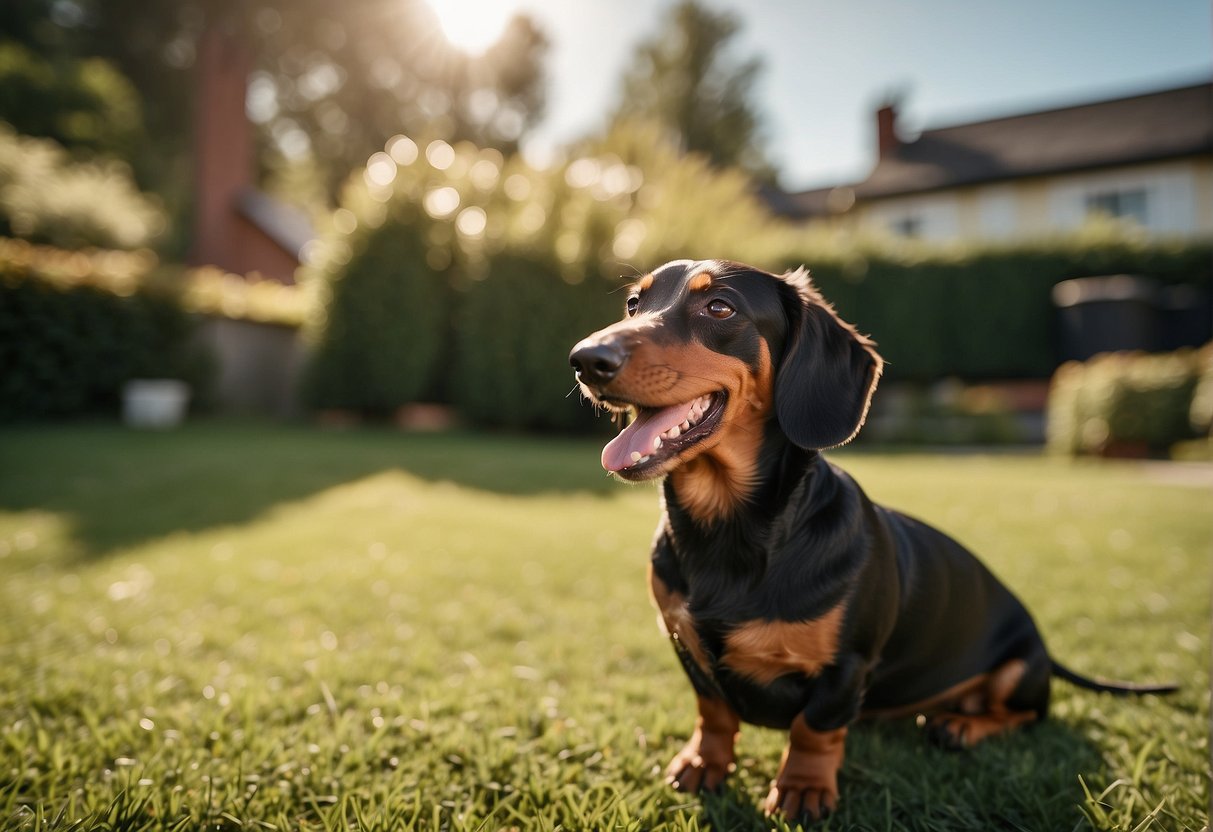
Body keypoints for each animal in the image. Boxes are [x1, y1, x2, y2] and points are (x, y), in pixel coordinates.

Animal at [567, 259, 1174, 819]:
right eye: (633, 304)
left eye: (720, 307)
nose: (585, 359)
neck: (729, 531)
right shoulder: (684, 642)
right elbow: (713, 713)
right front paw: (702, 764)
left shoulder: (846, 665)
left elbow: (813, 730)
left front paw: (803, 788)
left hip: (1019, 669)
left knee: (1026, 713)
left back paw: (961, 725)